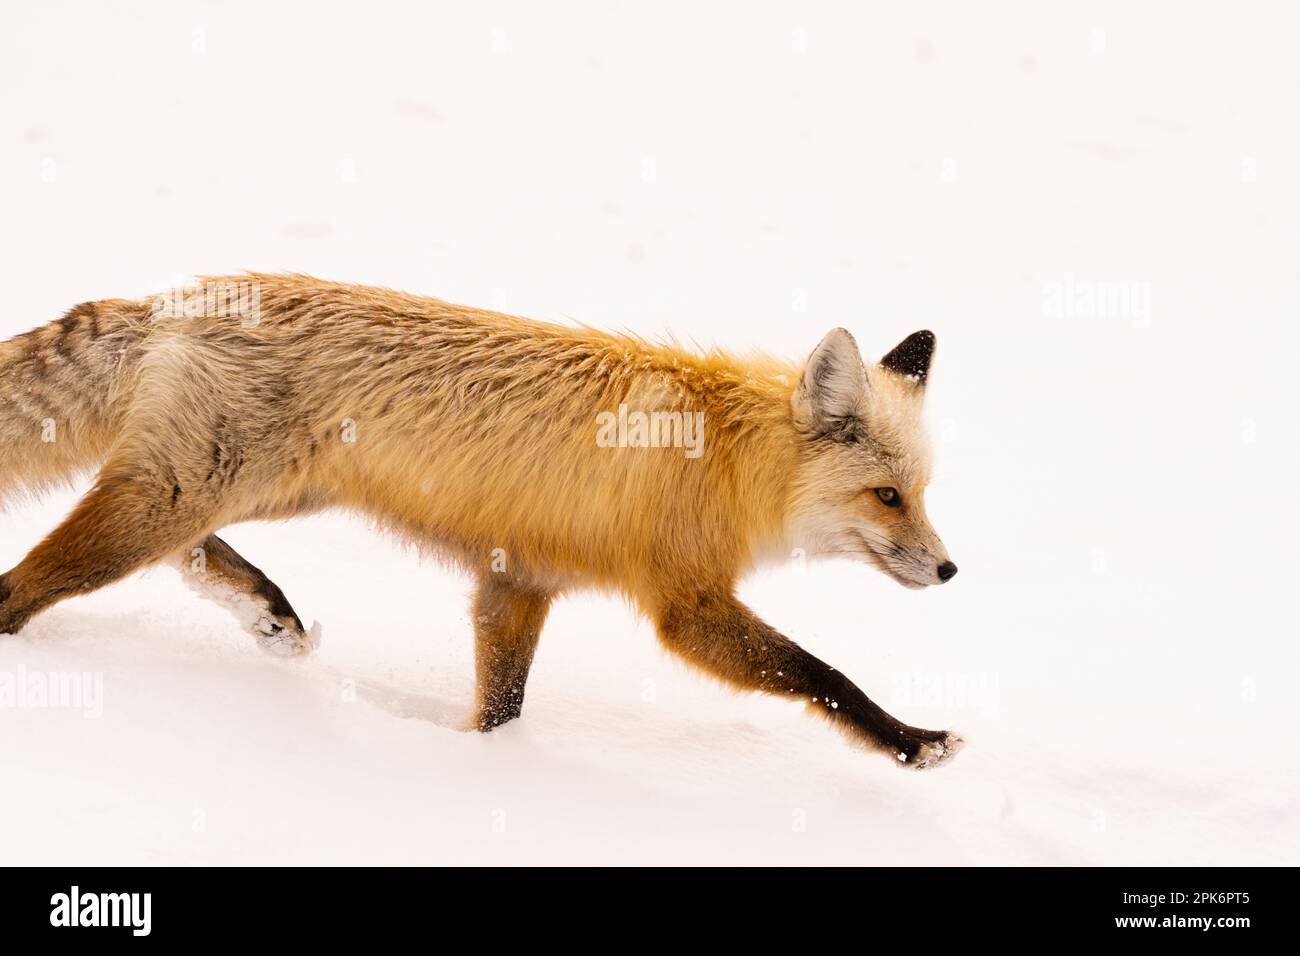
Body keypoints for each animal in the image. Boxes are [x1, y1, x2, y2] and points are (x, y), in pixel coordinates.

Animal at [0, 277, 961, 770]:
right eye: (888, 498)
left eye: (923, 492)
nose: (951, 570)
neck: (721, 455)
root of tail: (186, 292)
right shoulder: (685, 605)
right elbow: (822, 673)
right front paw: (911, 741)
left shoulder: (517, 583)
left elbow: (501, 709)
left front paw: (484, 769)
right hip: (182, 494)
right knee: (22, 588)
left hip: (225, 492)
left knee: (183, 552)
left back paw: (266, 609)